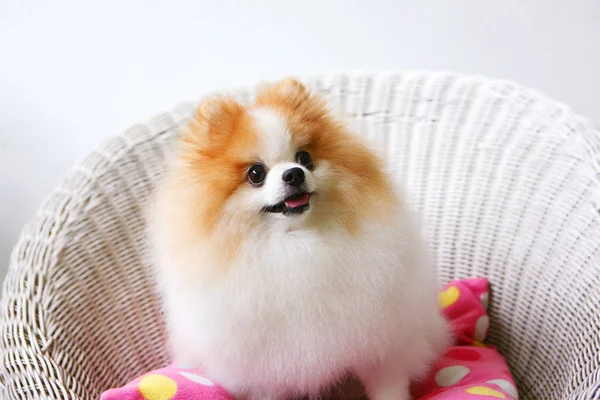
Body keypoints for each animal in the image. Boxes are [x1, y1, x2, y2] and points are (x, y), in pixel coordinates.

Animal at [150, 79, 450, 400]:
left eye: (304, 158)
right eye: (256, 174)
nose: (294, 174)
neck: (298, 245)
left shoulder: (382, 342)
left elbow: (388, 383)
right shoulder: (267, 372)